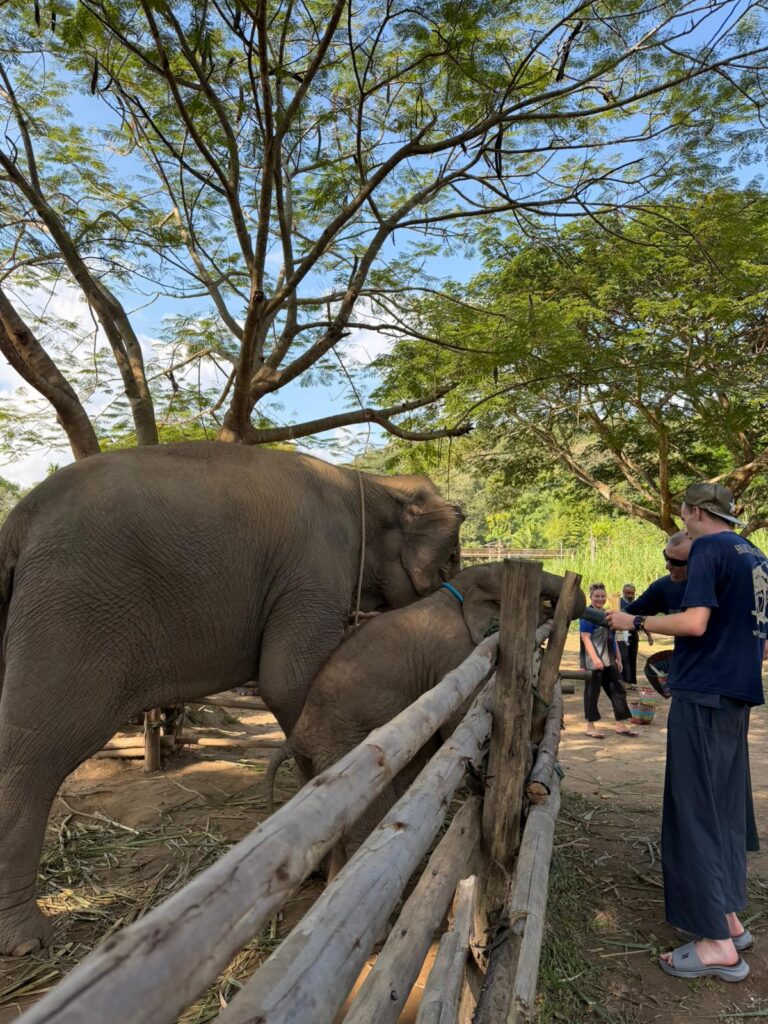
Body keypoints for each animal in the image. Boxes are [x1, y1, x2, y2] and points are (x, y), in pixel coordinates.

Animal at [0, 441, 463, 955]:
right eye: (452, 557)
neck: (366, 482)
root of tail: (16, 524)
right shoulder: (313, 568)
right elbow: (290, 680)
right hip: (69, 610)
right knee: (34, 749)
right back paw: (26, 940)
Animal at [266, 562, 583, 870]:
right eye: (541, 594)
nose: (565, 594)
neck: (459, 587)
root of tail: (298, 734)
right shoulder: (455, 651)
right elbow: (462, 715)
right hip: (341, 753)